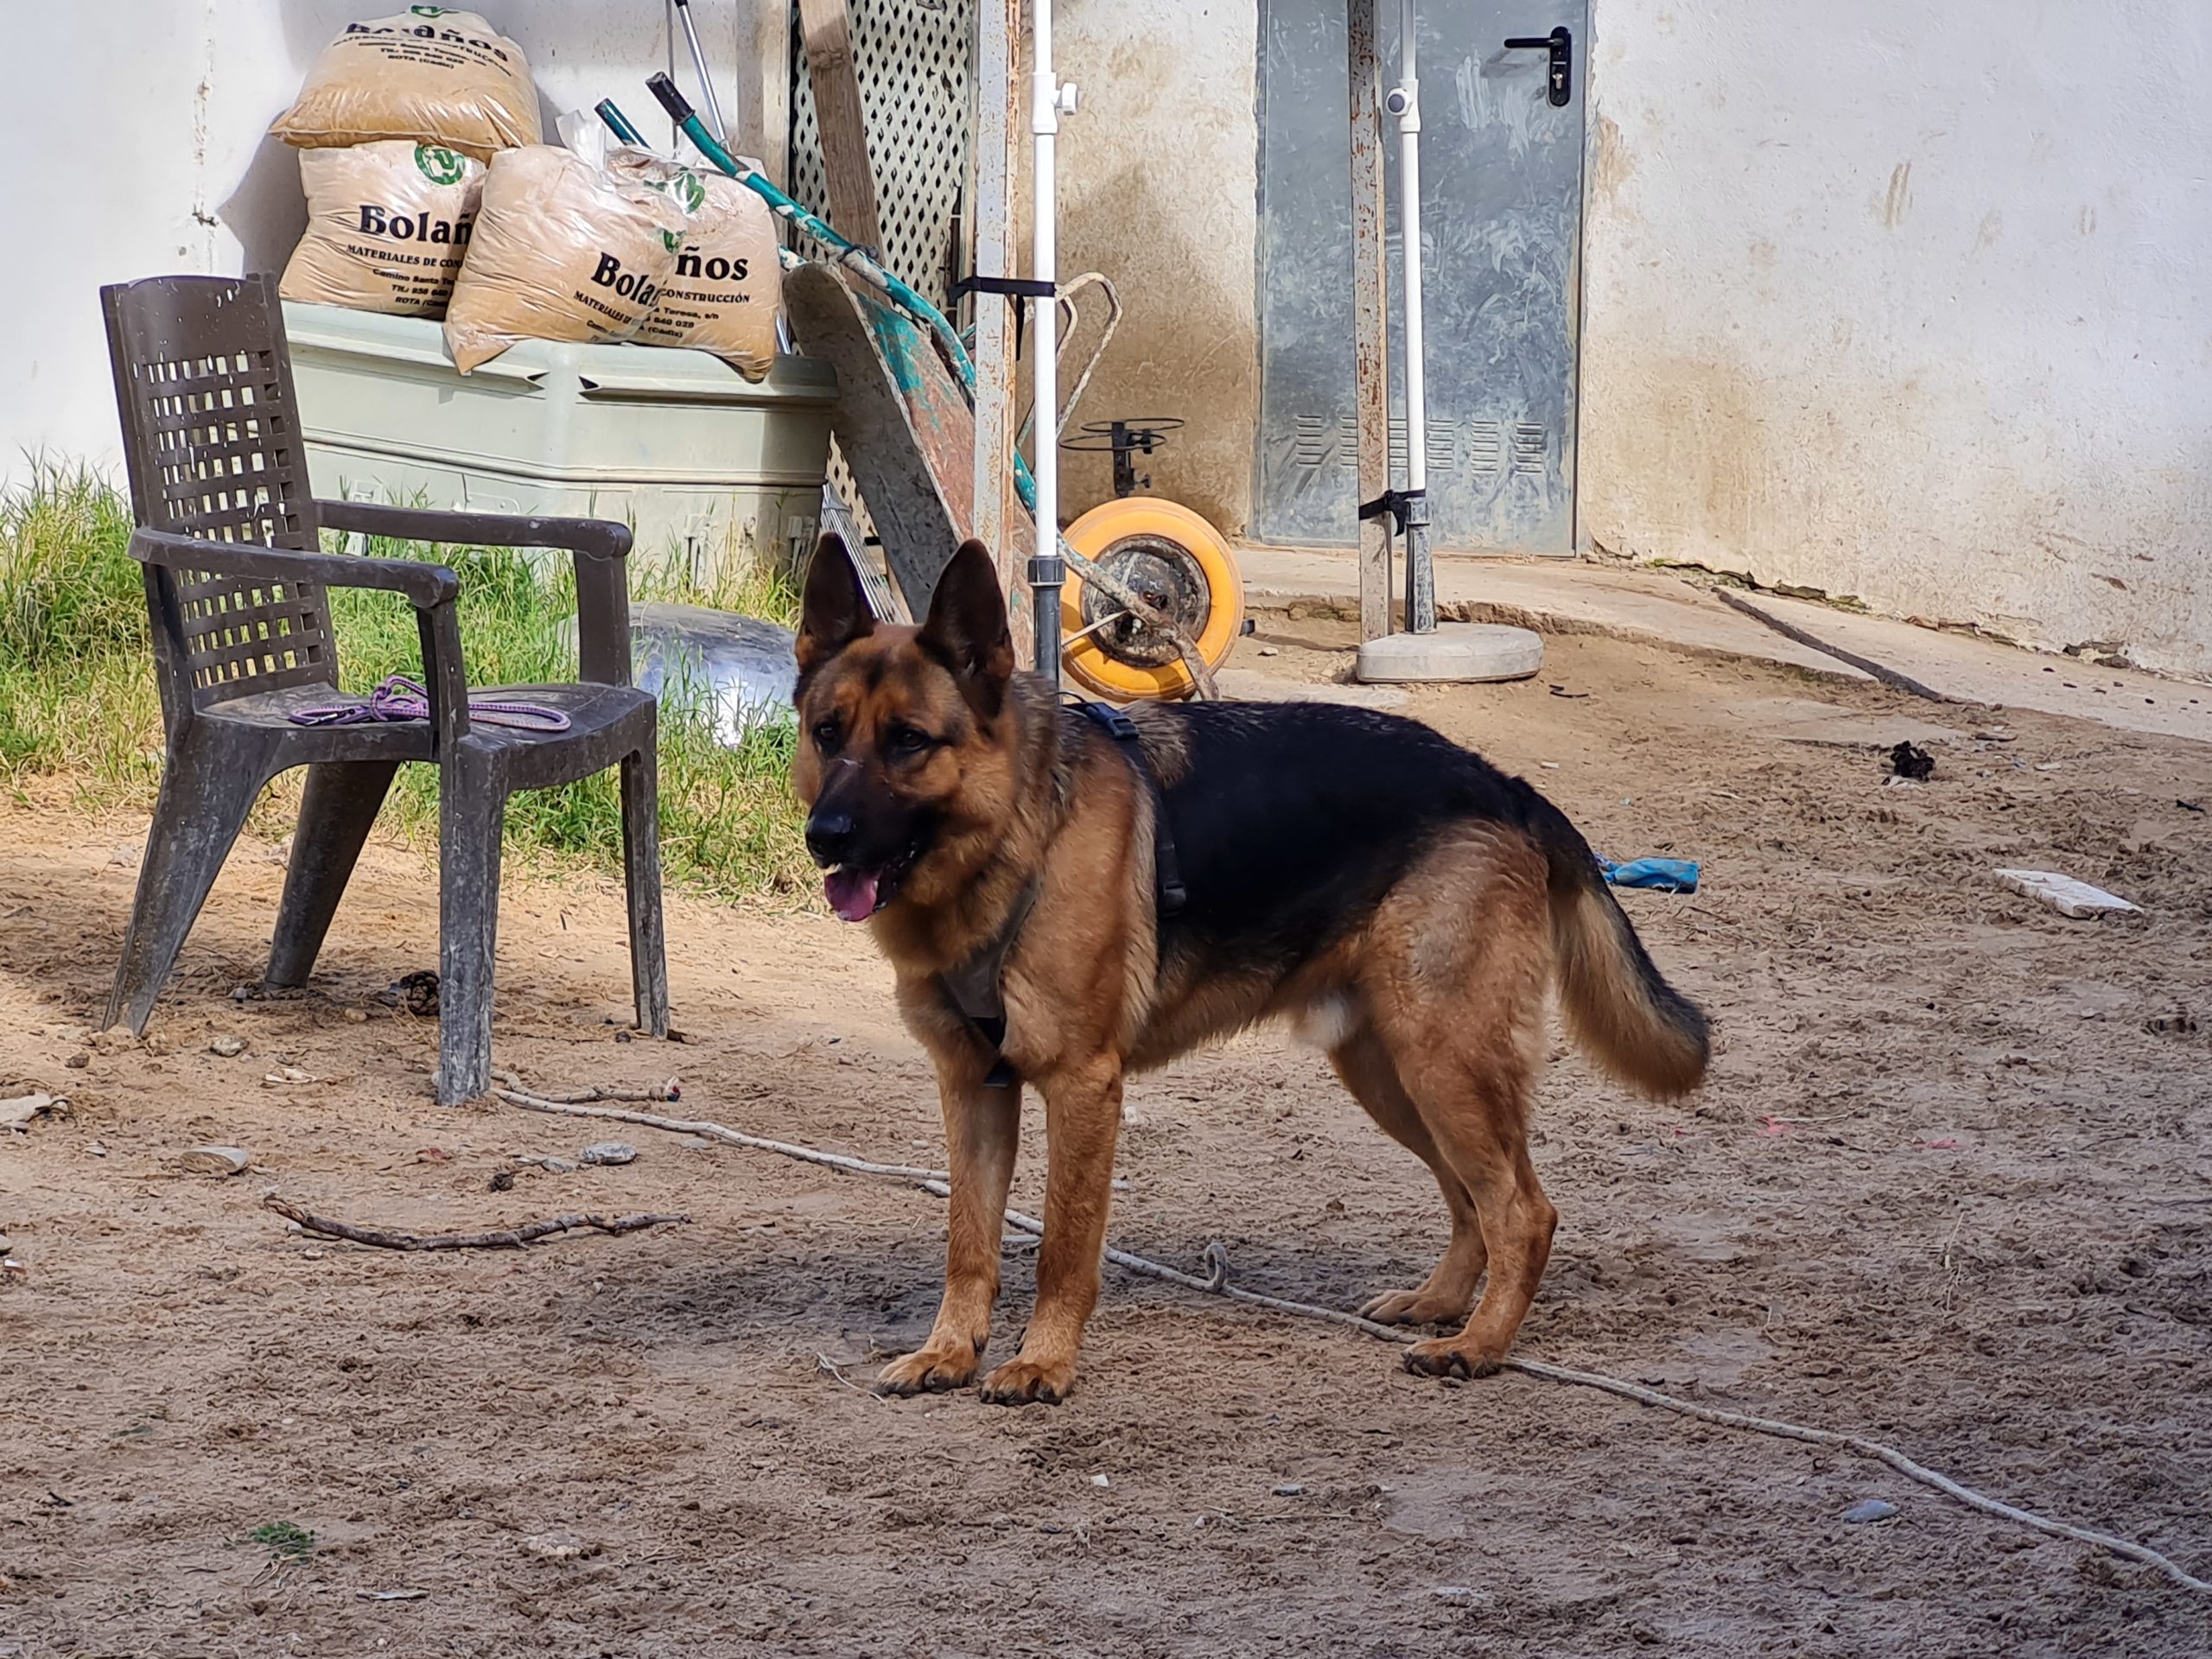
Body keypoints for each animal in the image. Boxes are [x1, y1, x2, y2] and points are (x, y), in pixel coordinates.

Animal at [792, 537, 1709, 1405]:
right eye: (827, 733)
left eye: (910, 742)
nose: (824, 837)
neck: (1020, 829)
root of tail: (1504, 784)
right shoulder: (973, 1089)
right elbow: (969, 1239)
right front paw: (949, 1352)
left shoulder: (1083, 1088)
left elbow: (1063, 1245)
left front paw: (1044, 1364)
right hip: (1394, 1072)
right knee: (1471, 1200)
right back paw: (1442, 1304)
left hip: (1443, 1060)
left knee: (1524, 1209)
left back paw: (1480, 1344)